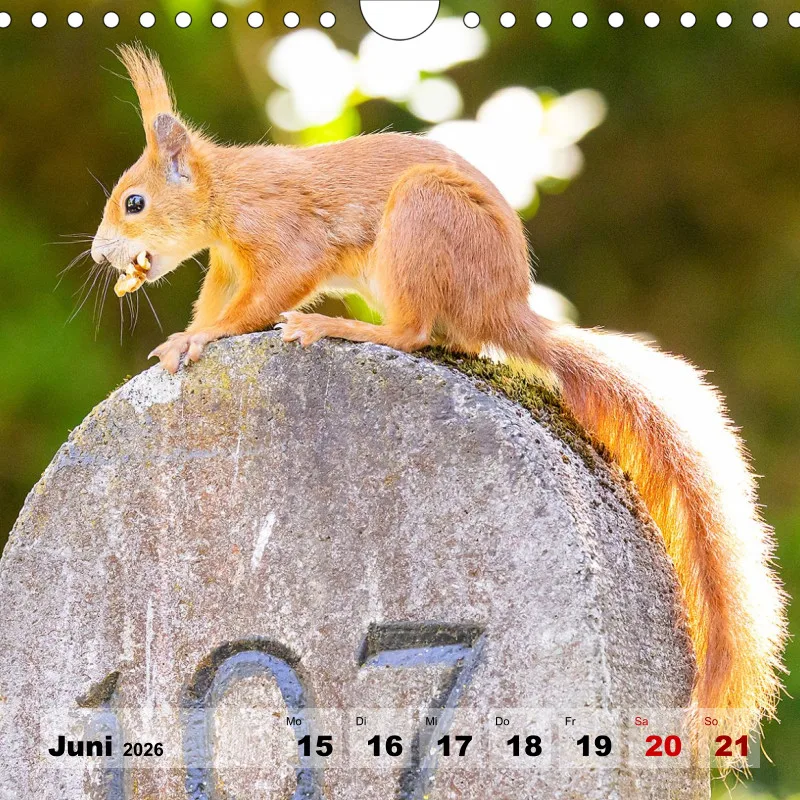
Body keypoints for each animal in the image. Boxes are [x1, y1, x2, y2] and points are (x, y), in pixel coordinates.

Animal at [91, 45, 785, 740]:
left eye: (134, 202)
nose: (99, 255)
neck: (226, 189)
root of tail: (504, 307)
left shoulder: (285, 236)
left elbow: (267, 295)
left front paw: (204, 336)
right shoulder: (227, 266)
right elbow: (218, 302)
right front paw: (186, 338)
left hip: (424, 217)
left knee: (412, 331)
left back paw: (339, 326)